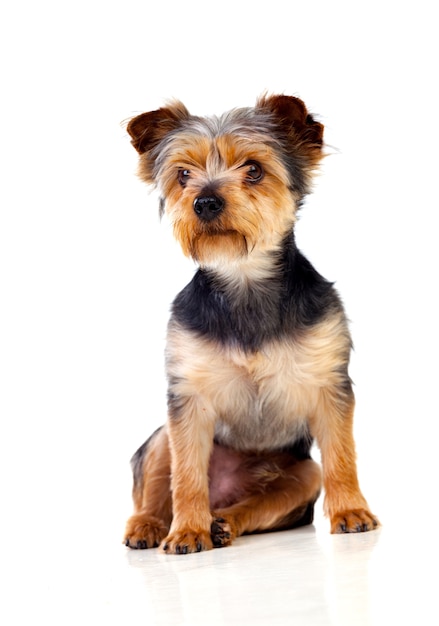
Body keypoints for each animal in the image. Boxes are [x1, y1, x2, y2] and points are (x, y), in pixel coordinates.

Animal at [123, 92, 378, 552]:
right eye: (183, 175)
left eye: (254, 170)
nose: (205, 201)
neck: (243, 279)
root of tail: (224, 492)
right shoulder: (187, 400)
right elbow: (185, 476)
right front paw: (186, 531)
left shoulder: (330, 384)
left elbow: (341, 454)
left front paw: (351, 511)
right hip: (163, 436)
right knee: (159, 486)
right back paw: (152, 525)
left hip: (302, 474)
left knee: (261, 502)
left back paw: (223, 522)